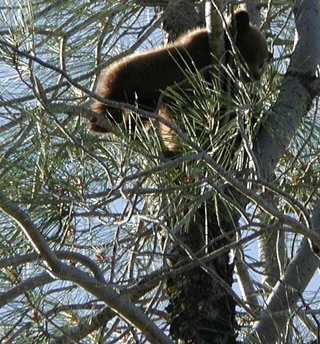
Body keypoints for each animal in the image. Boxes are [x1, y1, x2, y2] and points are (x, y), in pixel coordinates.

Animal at [89, 9, 270, 150]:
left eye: (262, 63)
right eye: (250, 54)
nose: (255, 76)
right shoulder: (196, 49)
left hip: (147, 102)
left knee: (139, 116)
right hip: (130, 75)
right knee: (113, 96)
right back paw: (101, 123)